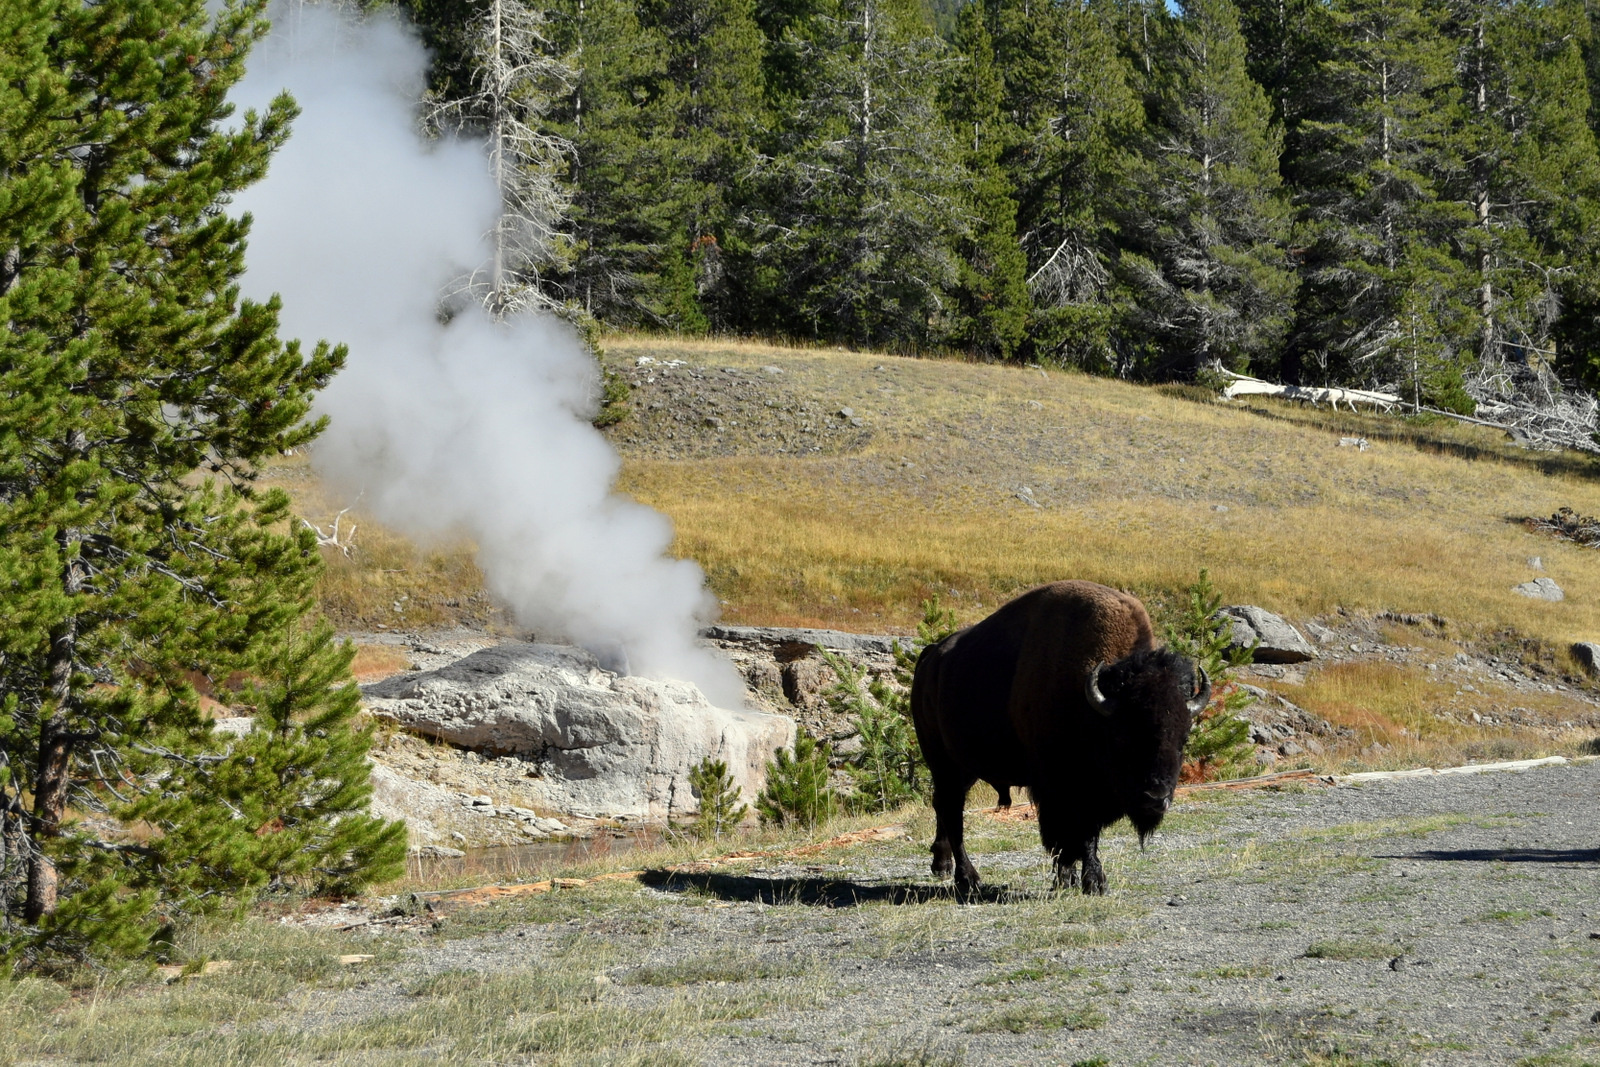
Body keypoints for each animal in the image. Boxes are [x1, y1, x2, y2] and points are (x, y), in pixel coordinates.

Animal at [908, 579, 1203, 895]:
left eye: (1183, 739)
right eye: (1123, 736)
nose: (1156, 798)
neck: (1092, 706)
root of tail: (930, 657)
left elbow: (1081, 835)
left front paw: (1074, 877)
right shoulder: (1061, 786)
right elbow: (1072, 833)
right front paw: (1088, 881)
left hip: (965, 767)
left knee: (944, 806)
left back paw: (942, 865)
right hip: (942, 762)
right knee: (953, 812)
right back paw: (968, 880)